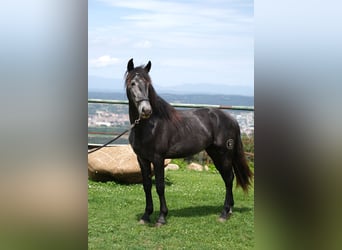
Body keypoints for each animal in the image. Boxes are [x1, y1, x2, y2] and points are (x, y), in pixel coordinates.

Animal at [124, 59, 252, 227]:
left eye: (148, 84)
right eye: (132, 83)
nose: (146, 110)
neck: (150, 125)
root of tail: (232, 119)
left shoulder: (158, 159)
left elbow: (160, 186)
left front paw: (161, 218)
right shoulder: (142, 159)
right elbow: (146, 186)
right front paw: (146, 216)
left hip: (224, 154)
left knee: (229, 178)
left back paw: (224, 213)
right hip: (215, 154)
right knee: (227, 178)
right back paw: (229, 210)